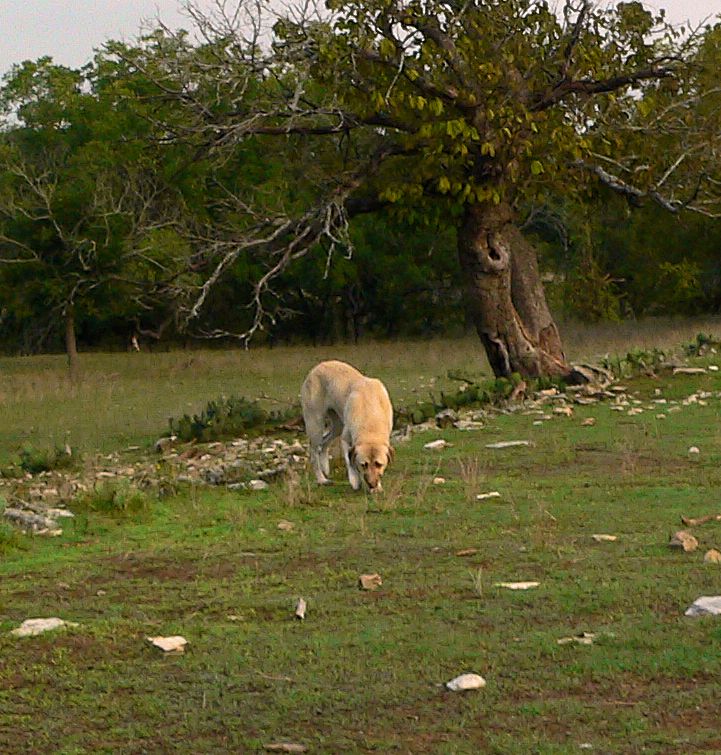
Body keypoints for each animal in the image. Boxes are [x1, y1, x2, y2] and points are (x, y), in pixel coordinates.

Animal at [300, 362, 394, 494]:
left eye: (379, 464)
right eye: (363, 464)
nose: (372, 484)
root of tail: (317, 367)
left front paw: (378, 487)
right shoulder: (345, 440)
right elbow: (350, 462)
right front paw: (355, 480)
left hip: (338, 426)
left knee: (324, 443)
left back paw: (325, 467)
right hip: (316, 426)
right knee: (313, 453)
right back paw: (321, 479)